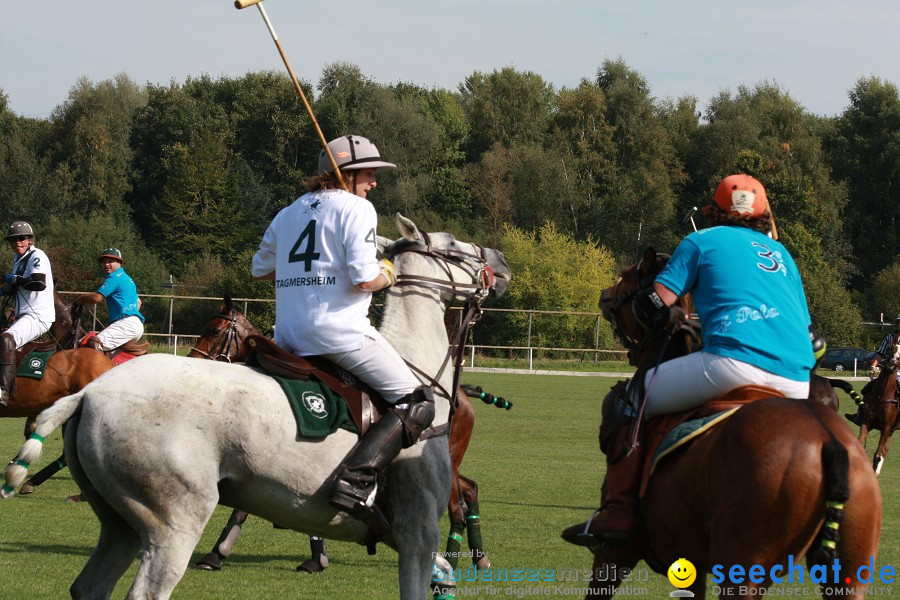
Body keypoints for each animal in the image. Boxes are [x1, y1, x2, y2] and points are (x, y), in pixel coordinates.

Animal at [185, 298, 488, 576]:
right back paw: (477, 557)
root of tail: (462, 394)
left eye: (214, 329)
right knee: (470, 489)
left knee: (458, 507)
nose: (192, 361)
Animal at [584, 247, 880, 600]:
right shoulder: (688, 560)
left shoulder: (618, 550)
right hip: (850, 568)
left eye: (628, 277)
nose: (604, 296)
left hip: (743, 562)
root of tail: (829, 442)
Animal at [852, 332, 900, 474]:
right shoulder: (867, 421)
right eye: (891, 349)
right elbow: (860, 444)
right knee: (885, 449)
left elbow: (877, 455)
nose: (893, 361)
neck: (882, 395)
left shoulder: (886, 427)